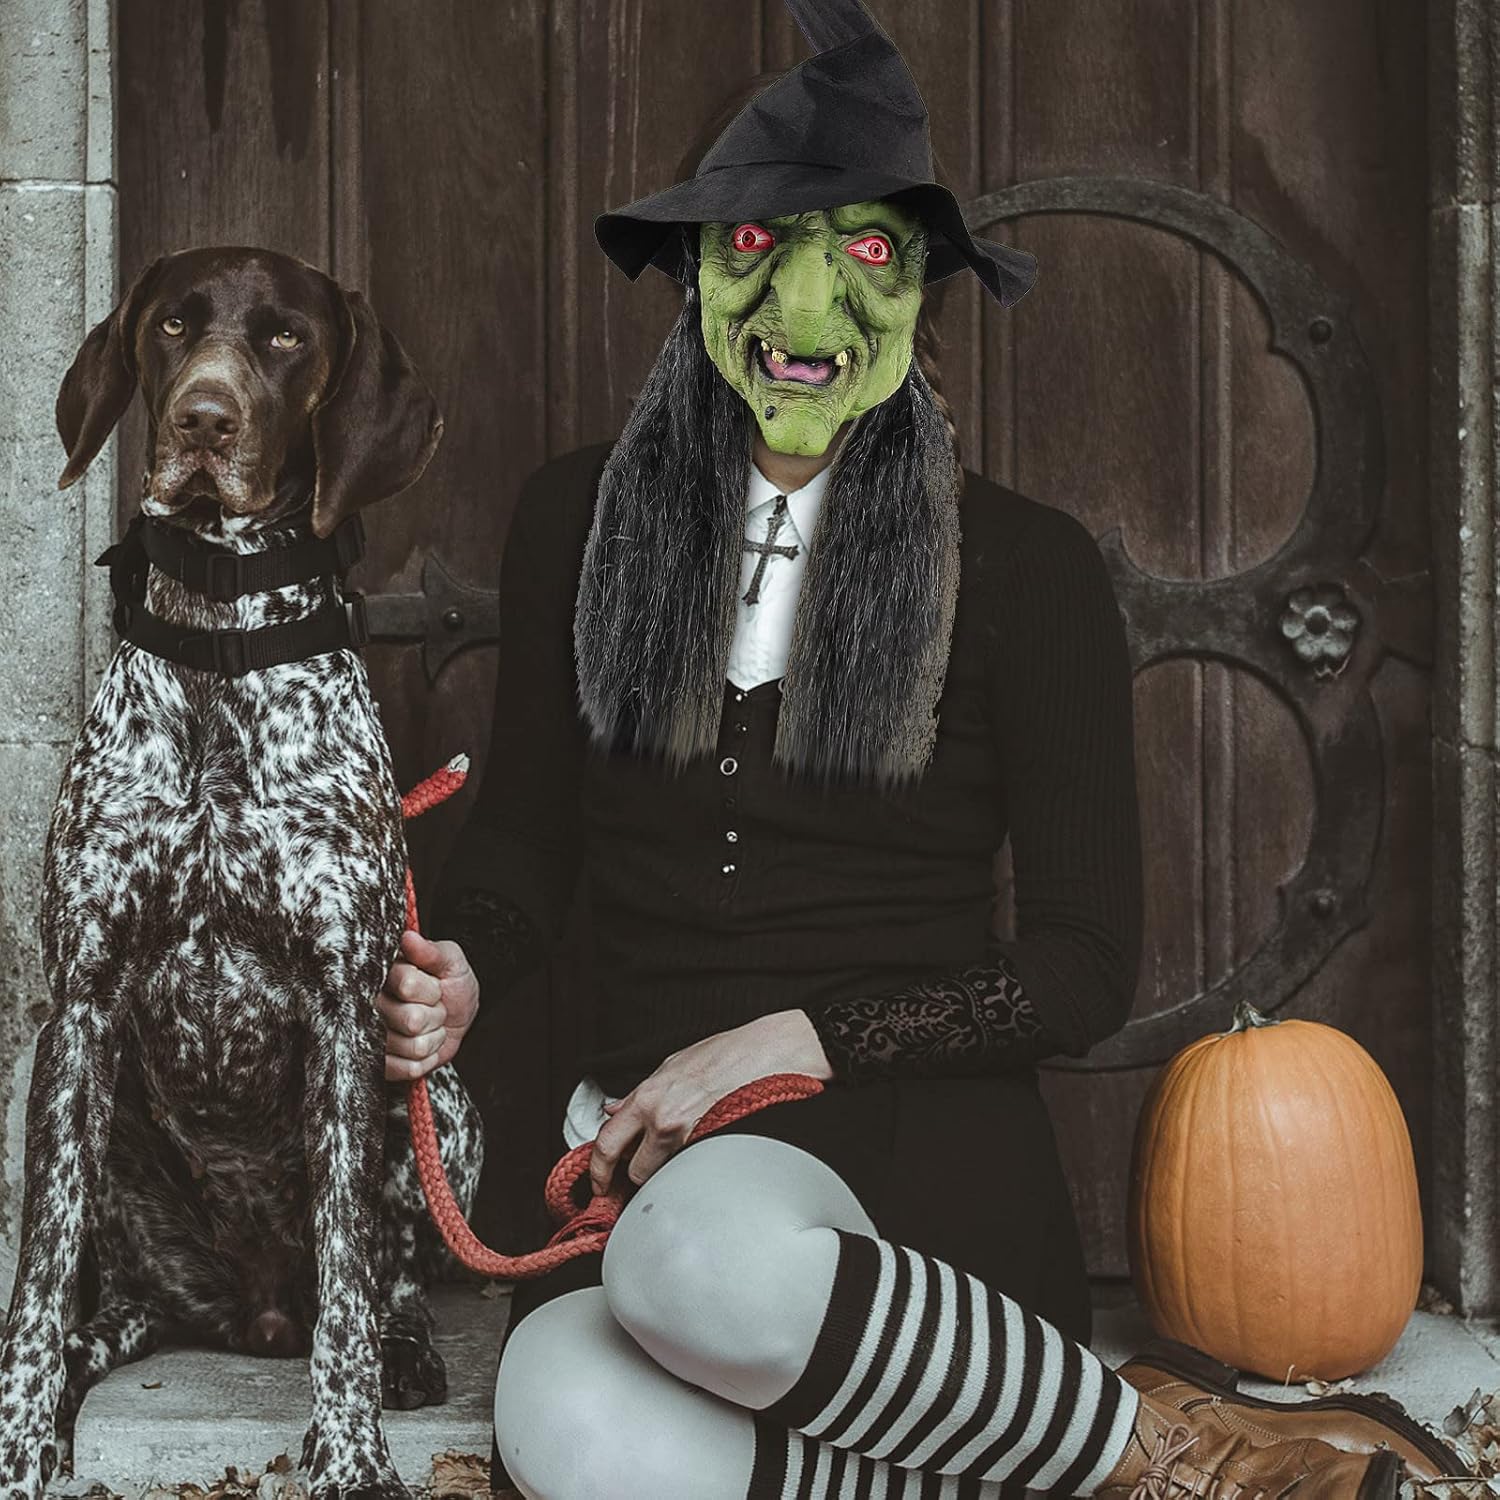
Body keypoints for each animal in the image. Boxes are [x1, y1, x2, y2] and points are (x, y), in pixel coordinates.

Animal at [0, 247, 484, 1500]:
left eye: (285, 339)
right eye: (173, 327)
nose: (203, 420)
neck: (222, 639)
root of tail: (252, 1310)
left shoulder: (348, 1008)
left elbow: (352, 1288)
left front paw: (351, 1457)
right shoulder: (79, 1003)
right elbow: (35, 1284)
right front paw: (17, 1442)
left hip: (436, 1089)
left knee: (381, 1277)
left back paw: (402, 1349)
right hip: (90, 1117)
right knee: (109, 1305)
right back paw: (82, 1368)